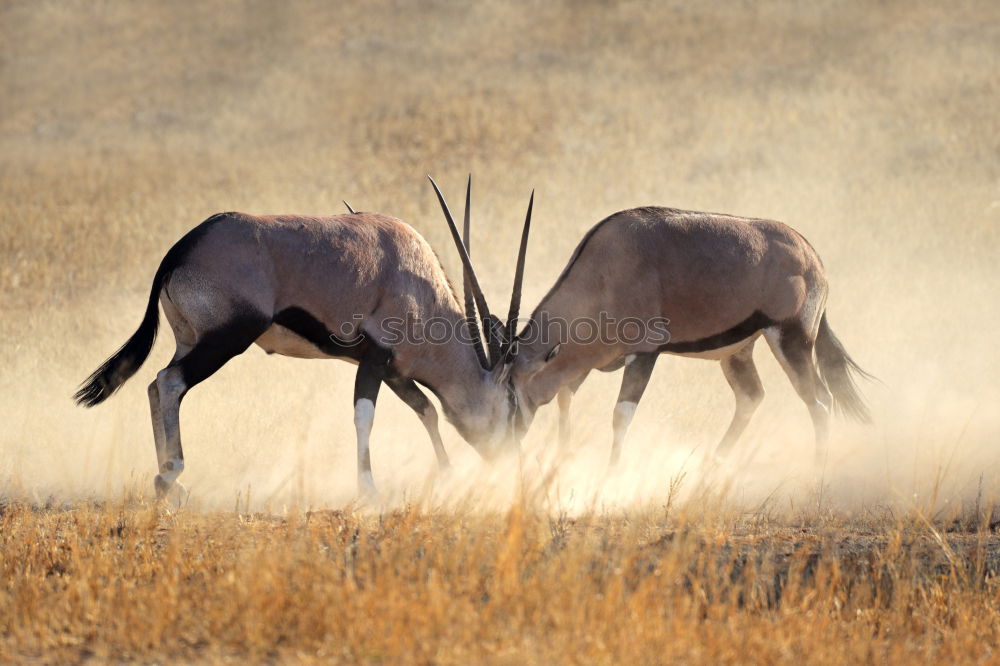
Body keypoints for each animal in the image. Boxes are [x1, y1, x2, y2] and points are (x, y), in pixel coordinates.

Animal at [74, 178, 536, 498]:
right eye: (513, 406)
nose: (509, 460)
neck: (419, 283)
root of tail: (181, 248)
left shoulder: (393, 369)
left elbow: (426, 411)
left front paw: (446, 473)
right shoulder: (376, 357)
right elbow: (365, 415)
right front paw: (369, 488)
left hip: (191, 340)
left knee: (157, 385)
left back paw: (170, 480)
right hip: (226, 340)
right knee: (169, 382)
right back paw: (171, 475)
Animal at [512, 205, 872, 464]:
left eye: (512, 391)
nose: (505, 442)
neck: (604, 270)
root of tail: (811, 254)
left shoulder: (643, 353)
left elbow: (620, 413)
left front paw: (610, 474)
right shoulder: (587, 360)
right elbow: (565, 397)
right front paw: (563, 458)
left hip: (791, 338)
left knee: (819, 400)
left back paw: (816, 473)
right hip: (738, 351)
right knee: (751, 395)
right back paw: (714, 463)